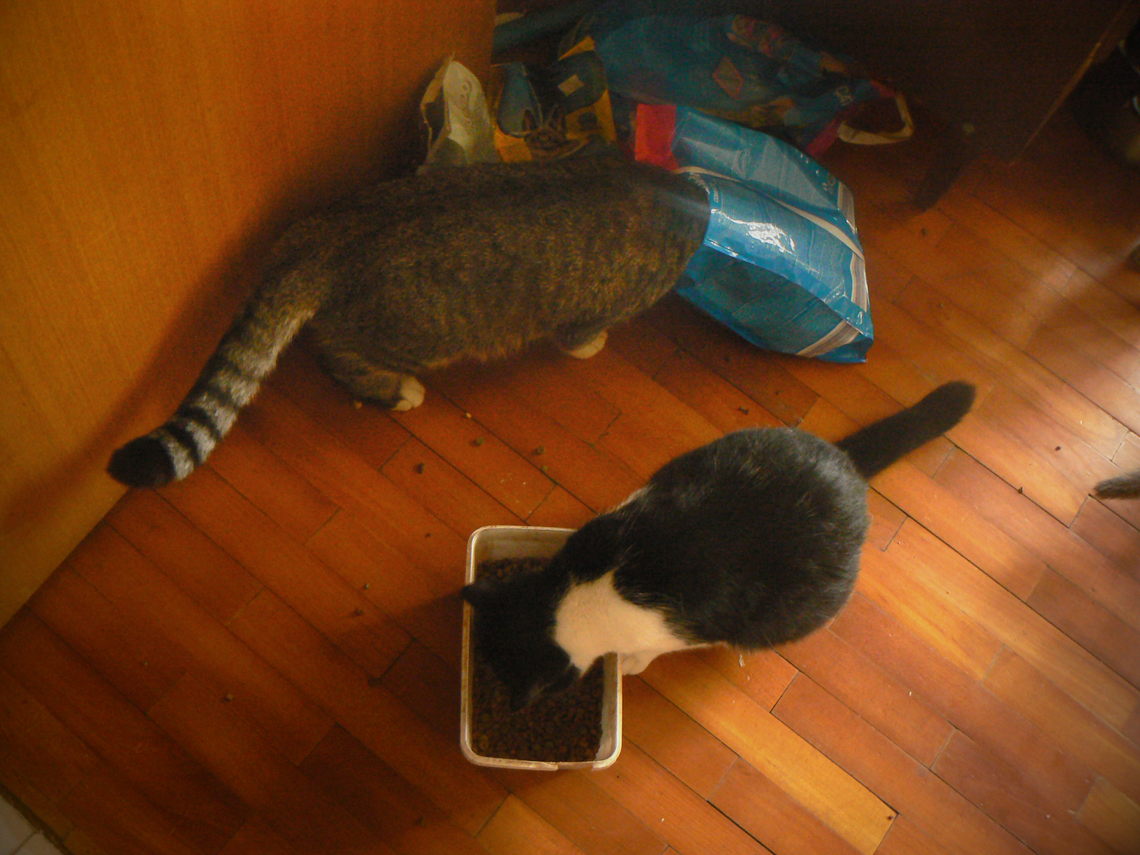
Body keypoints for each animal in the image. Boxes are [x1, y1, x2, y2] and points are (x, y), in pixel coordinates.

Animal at [108, 154, 710, 487]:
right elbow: (578, 336)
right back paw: (399, 392)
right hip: (410, 337)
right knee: (339, 358)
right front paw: (593, 346)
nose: (706, 194)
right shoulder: (589, 311)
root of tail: (320, 238)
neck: (660, 200)